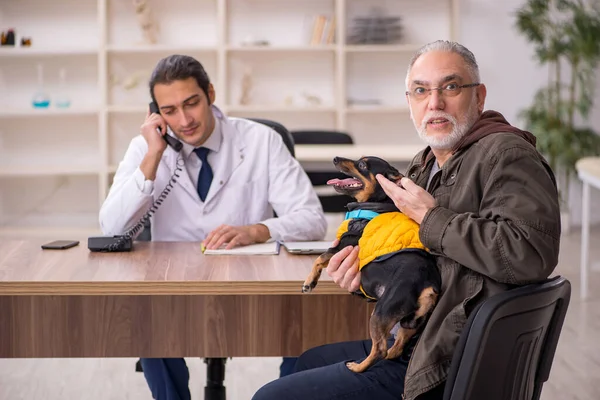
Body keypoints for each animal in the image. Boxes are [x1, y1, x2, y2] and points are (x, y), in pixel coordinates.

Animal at [304, 155, 440, 372]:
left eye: (362, 165)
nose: (335, 158)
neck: (373, 205)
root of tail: (428, 285)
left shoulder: (342, 246)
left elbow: (319, 258)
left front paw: (309, 282)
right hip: (410, 323)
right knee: (397, 346)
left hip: (381, 312)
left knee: (380, 349)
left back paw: (358, 367)